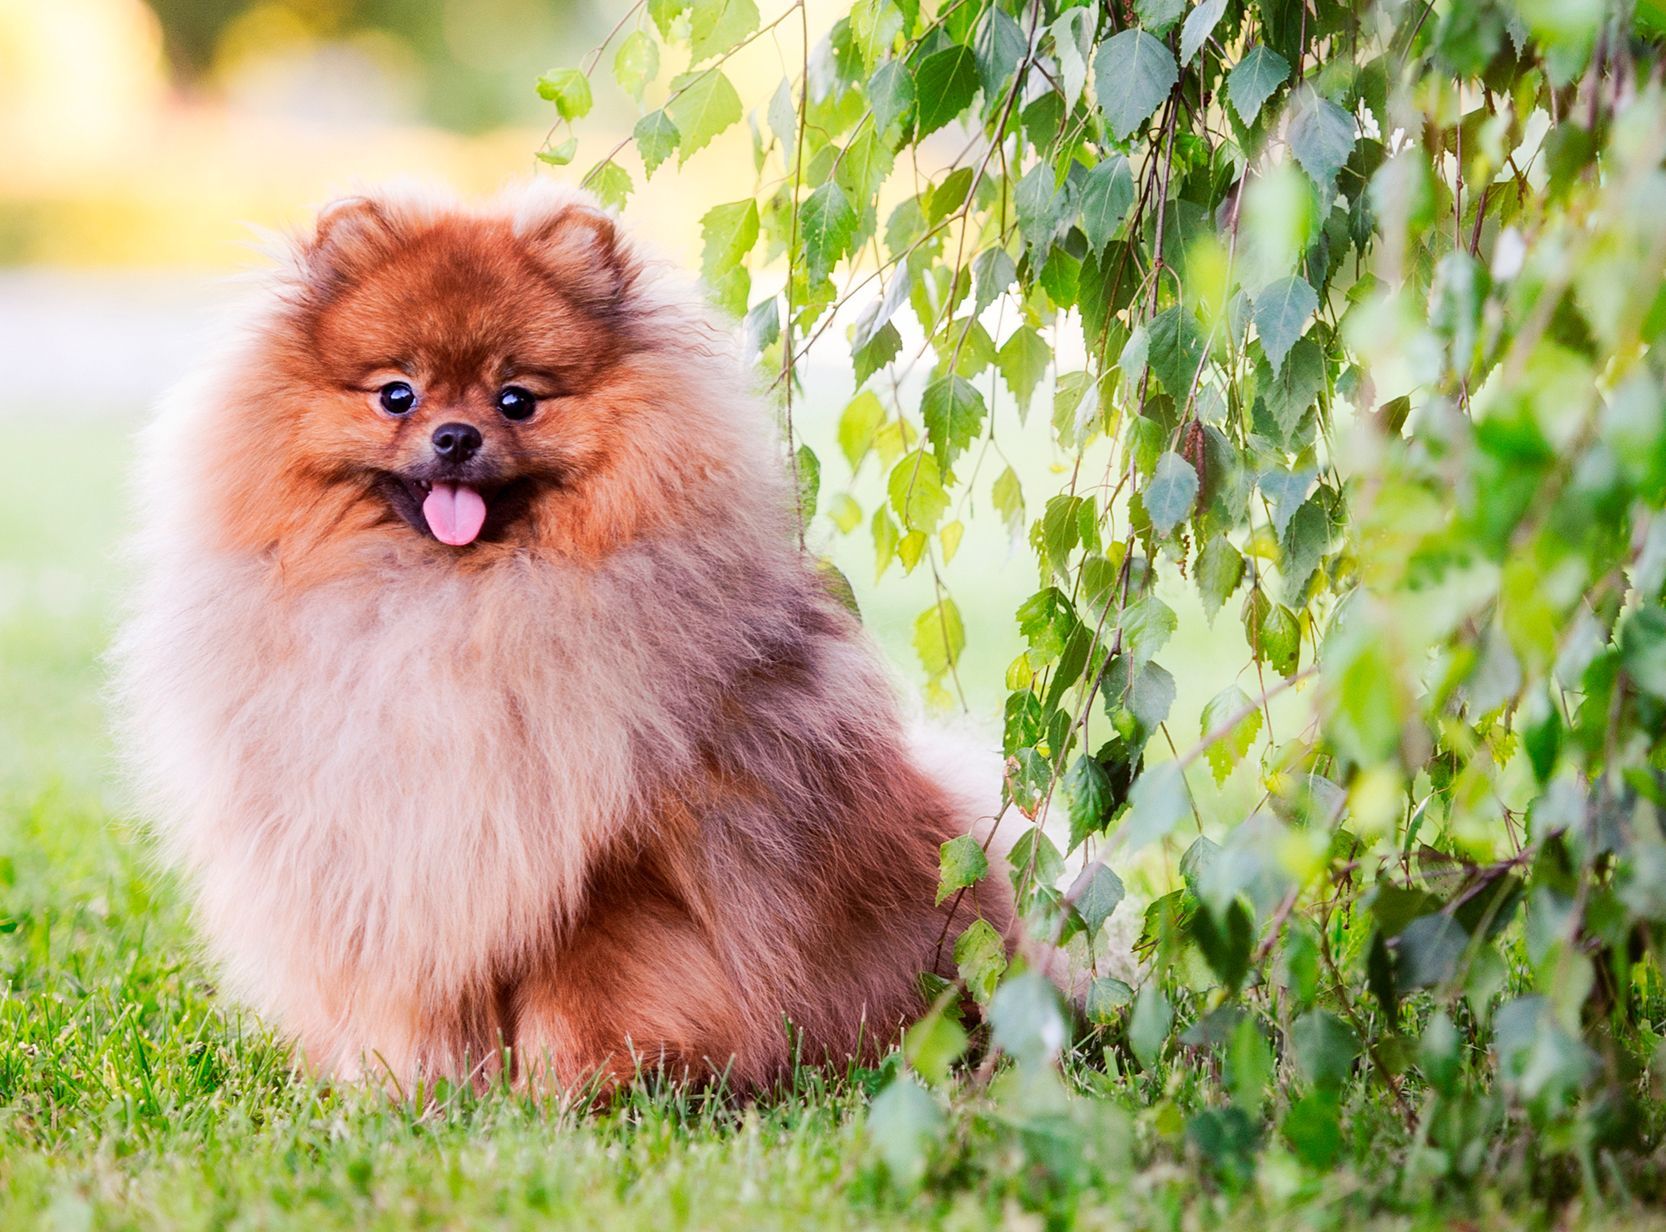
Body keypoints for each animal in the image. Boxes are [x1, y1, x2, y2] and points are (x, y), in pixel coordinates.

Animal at [114, 183, 1012, 1100]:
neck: (454, 605)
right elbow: (415, 1003)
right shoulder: (400, 858)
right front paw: (408, 1093)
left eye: (517, 399)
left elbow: (587, 996)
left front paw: (576, 1093)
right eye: (398, 395)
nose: (456, 436)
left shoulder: (608, 878)